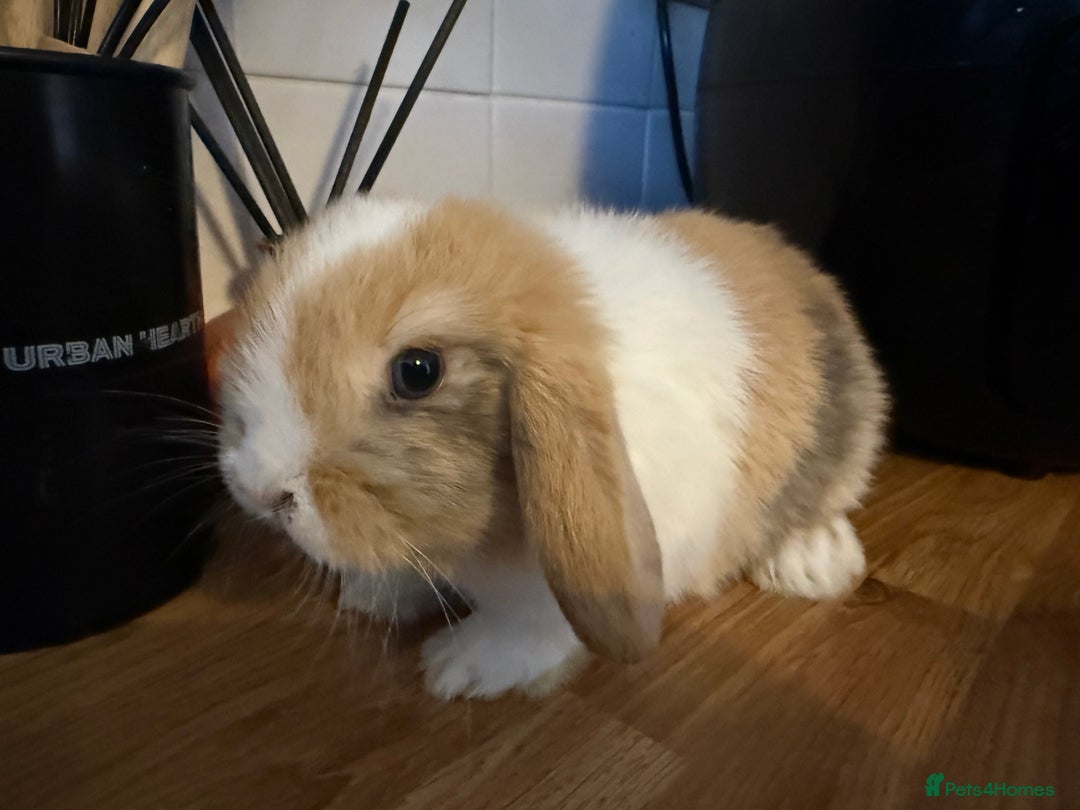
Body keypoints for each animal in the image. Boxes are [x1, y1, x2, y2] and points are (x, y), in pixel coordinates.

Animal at [216, 195, 888, 700]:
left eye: (417, 371)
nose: (258, 490)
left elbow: (534, 623)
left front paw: (459, 666)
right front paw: (373, 595)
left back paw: (814, 565)